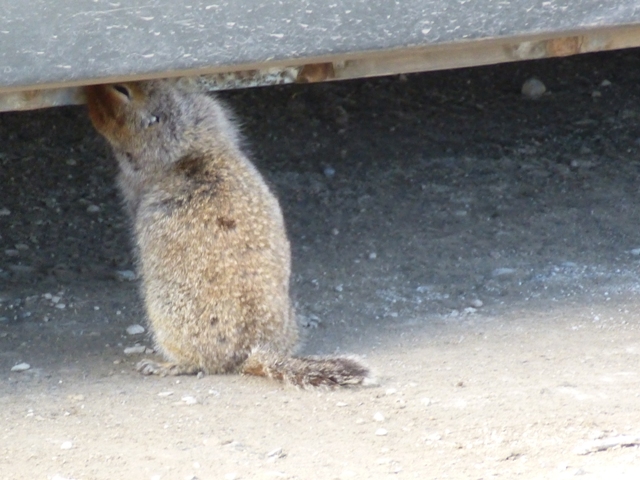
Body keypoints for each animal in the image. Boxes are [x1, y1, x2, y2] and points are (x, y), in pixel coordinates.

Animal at [85, 78, 376, 386]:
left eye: (121, 91)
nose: (90, 87)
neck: (193, 146)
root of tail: (251, 354)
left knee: (198, 363)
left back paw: (162, 365)